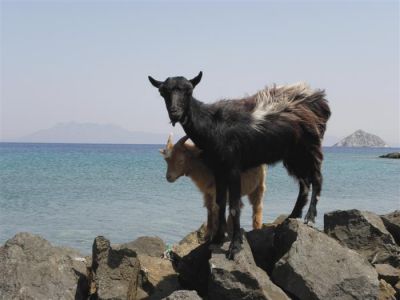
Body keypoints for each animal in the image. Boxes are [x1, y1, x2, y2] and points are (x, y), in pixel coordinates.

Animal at [148, 72, 330, 258]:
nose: (175, 113)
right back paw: (292, 217)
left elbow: (234, 205)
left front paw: (234, 246)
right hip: (293, 156)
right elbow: (220, 202)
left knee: (317, 179)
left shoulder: (233, 168)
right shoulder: (218, 170)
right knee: (304, 183)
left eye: (189, 91)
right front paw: (217, 238)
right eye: (163, 92)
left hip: (310, 147)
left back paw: (310, 217)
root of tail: (317, 99)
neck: (213, 125)